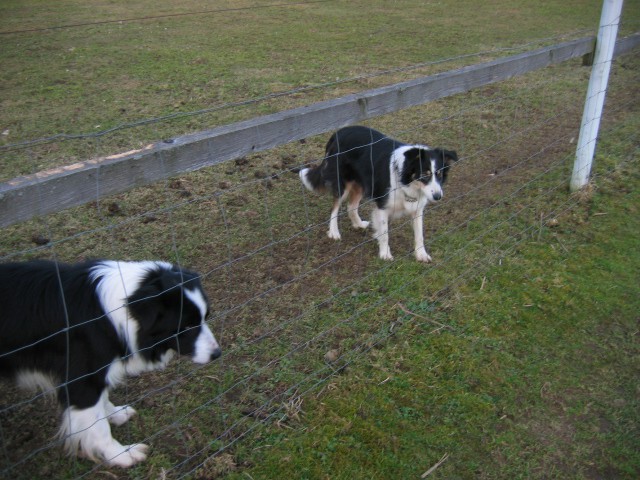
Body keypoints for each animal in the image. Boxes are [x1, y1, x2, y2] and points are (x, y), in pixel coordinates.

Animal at [0, 260, 220, 466]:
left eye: (206, 317)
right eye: (187, 326)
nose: (217, 354)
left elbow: (101, 402)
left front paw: (114, 413)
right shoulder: (82, 379)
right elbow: (97, 425)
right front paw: (121, 454)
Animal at [298, 126, 458, 262]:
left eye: (439, 174)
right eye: (425, 174)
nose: (438, 197)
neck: (406, 180)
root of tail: (338, 133)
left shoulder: (417, 209)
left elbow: (419, 235)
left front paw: (421, 254)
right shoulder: (382, 207)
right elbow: (385, 233)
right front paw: (385, 254)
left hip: (361, 183)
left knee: (351, 206)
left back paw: (358, 224)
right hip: (342, 183)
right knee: (335, 207)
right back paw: (333, 232)